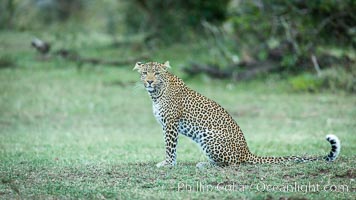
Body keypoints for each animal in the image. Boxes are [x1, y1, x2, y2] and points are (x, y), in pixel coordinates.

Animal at [132, 60, 340, 167]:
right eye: (144, 73)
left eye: (157, 73)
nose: (149, 81)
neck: (156, 93)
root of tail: (247, 151)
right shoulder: (168, 125)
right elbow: (171, 147)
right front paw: (170, 163)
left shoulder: (171, 124)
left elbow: (170, 147)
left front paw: (167, 164)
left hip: (208, 135)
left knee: (231, 163)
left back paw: (206, 164)